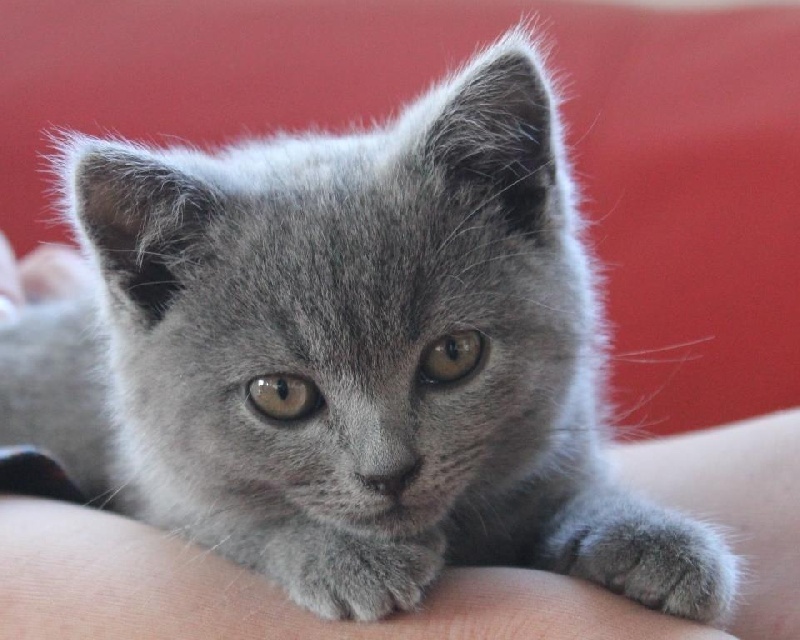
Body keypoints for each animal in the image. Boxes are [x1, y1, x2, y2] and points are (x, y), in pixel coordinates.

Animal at [0, 31, 736, 624]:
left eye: (454, 354)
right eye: (280, 394)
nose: (391, 473)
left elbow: (565, 493)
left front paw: (648, 537)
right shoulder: (156, 489)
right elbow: (233, 523)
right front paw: (342, 556)